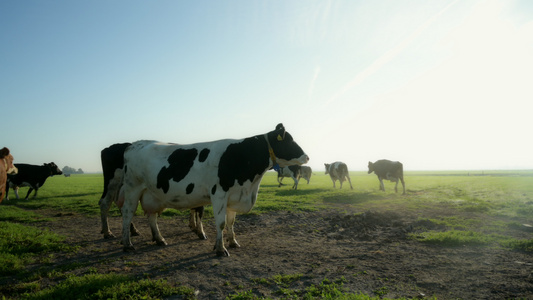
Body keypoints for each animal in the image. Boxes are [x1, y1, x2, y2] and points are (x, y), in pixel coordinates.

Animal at [116, 123, 308, 256]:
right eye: (290, 141)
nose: (307, 156)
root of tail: (134, 144)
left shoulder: (234, 196)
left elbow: (231, 222)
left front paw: (232, 242)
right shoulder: (219, 194)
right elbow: (221, 223)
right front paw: (220, 249)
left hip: (152, 193)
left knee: (152, 216)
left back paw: (159, 239)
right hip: (133, 188)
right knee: (127, 213)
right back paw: (127, 244)